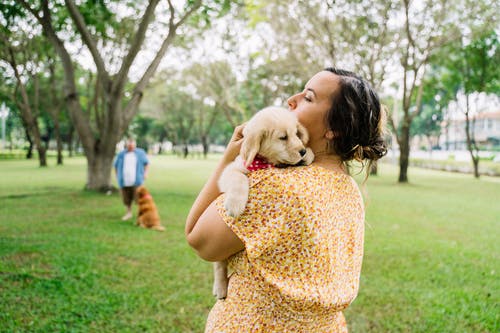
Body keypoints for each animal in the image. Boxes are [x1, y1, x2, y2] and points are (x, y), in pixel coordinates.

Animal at [212, 105, 314, 296]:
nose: (302, 150)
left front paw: (308, 155)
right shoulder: (232, 169)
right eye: (283, 137)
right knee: (219, 265)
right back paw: (220, 288)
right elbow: (238, 179)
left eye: (296, 133)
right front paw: (235, 204)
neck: (265, 162)